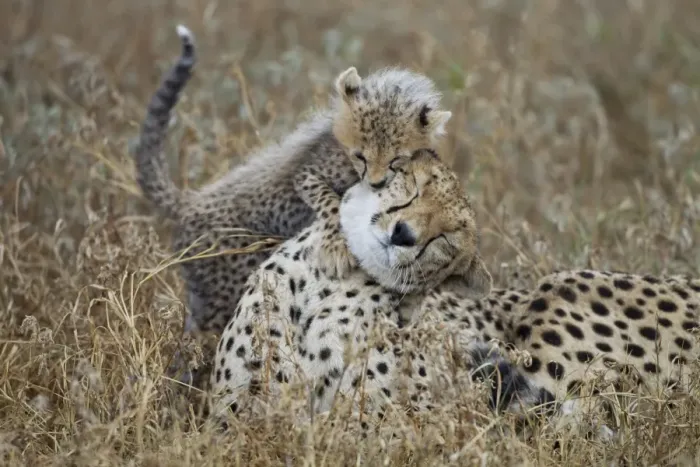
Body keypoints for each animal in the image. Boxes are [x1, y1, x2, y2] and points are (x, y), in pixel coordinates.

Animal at [133, 25, 454, 343]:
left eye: (395, 159)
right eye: (360, 156)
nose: (375, 183)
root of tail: (190, 202)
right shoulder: (308, 174)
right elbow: (331, 203)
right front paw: (336, 249)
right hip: (219, 297)